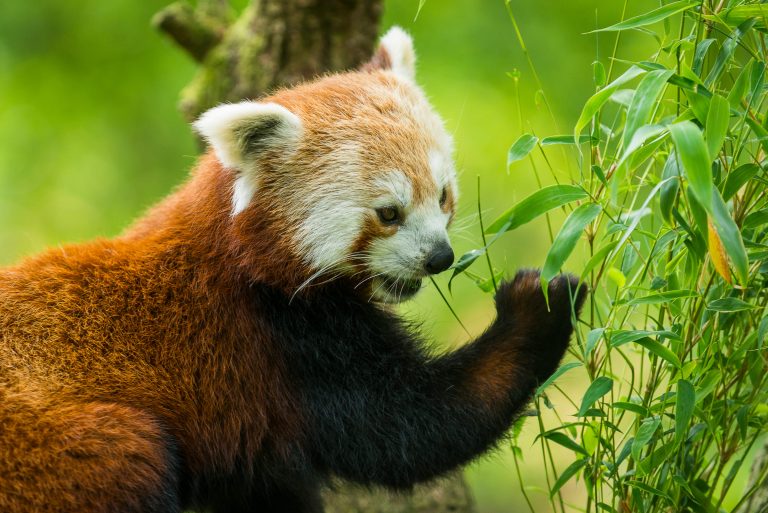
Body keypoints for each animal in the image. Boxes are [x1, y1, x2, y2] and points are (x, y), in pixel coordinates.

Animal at [0, 27, 584, 512]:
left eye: (443, 197)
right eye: (389, 213)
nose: (439, 258)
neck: (241, 256)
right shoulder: (280, 342)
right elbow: (407, 428)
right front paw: (539, 306)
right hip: (75, 451)